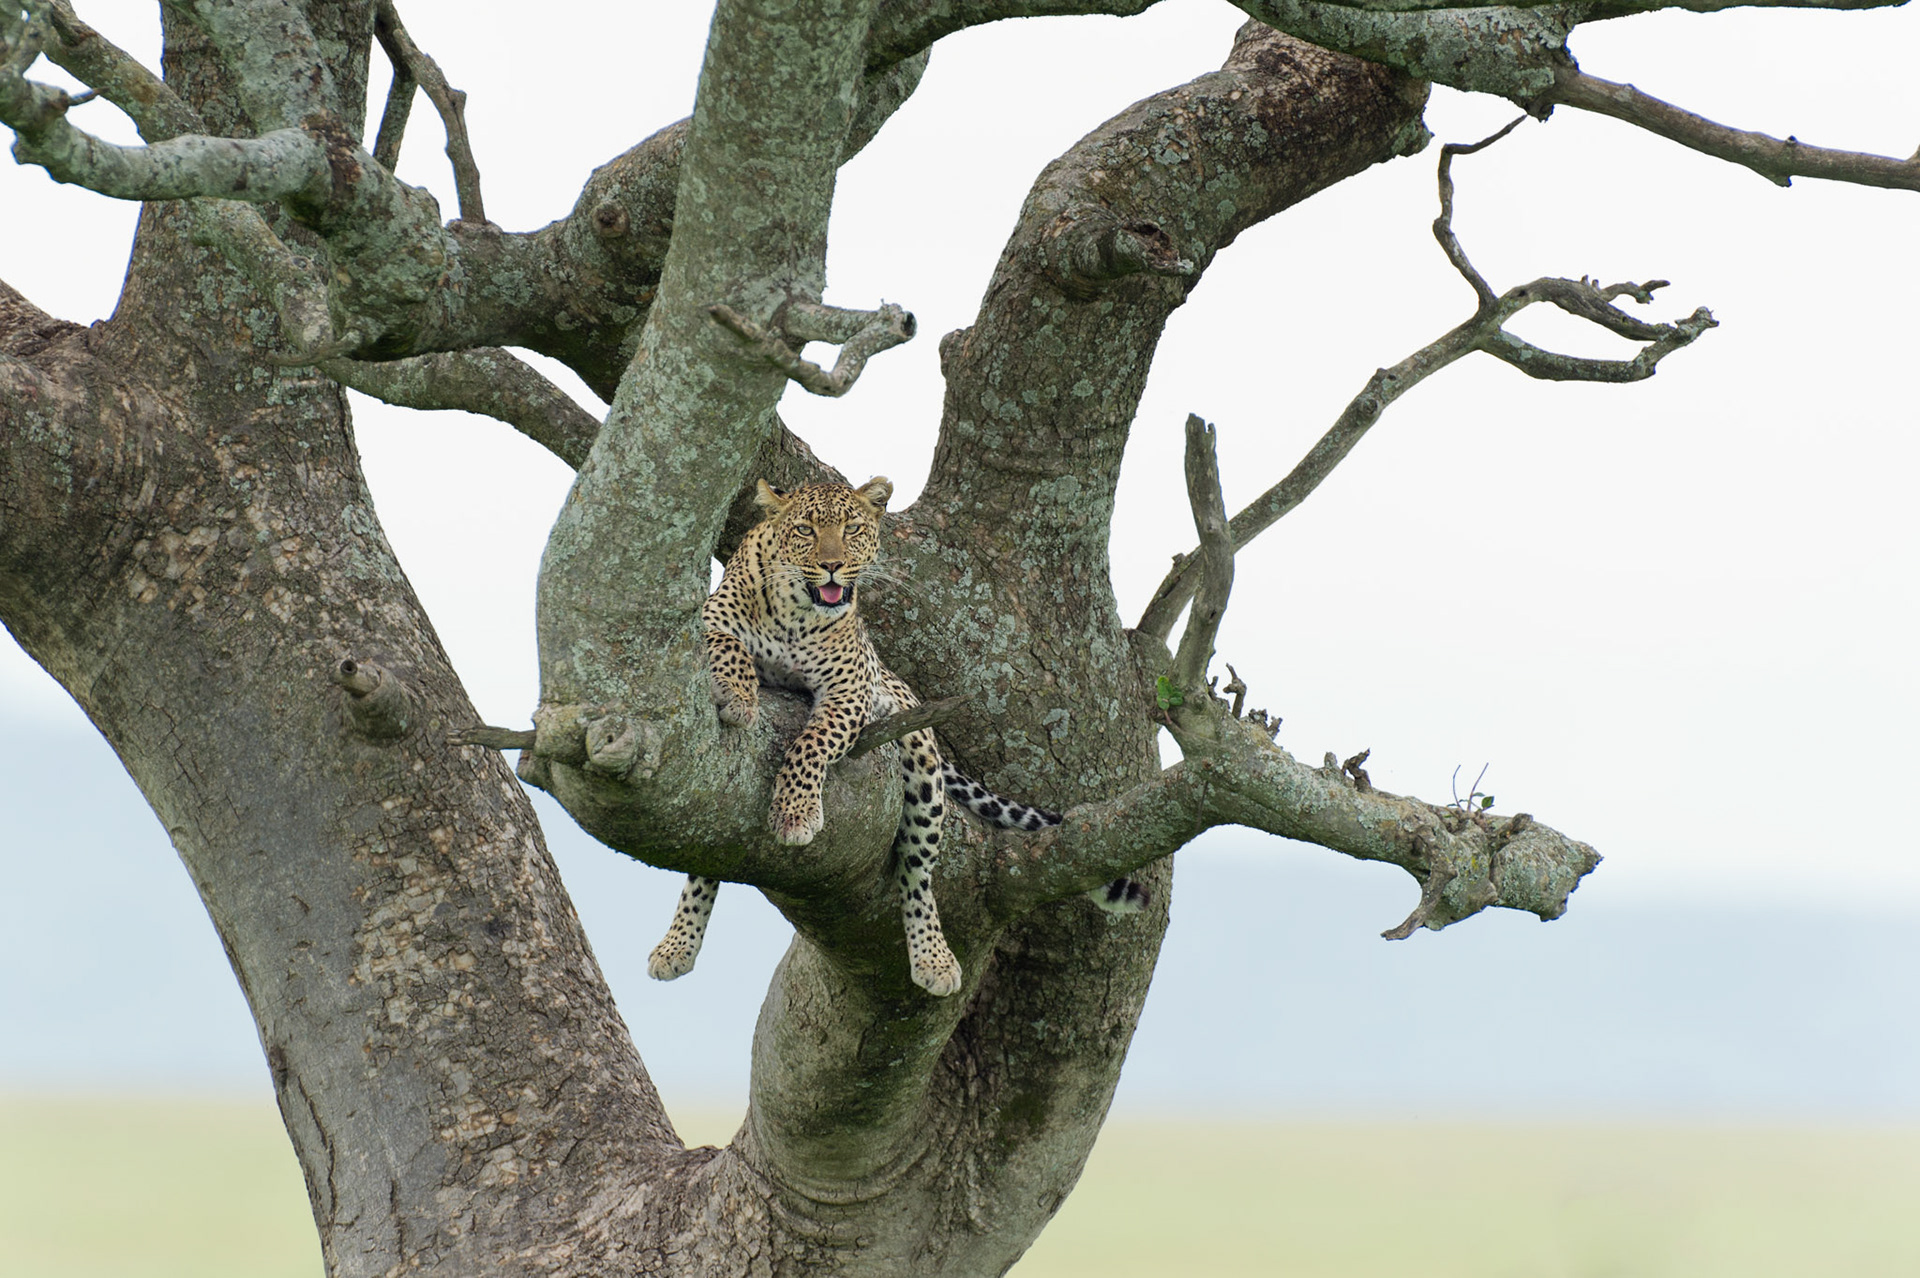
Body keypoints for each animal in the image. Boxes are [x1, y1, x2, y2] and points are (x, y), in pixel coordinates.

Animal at [646, 476, 1147, 997]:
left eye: (852, 529)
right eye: (805, 530)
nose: (832, 565)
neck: (795, 614)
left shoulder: (849, 691)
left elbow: (808, 746)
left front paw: (795, 812)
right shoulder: (707, 621)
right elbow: (727, 643)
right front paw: (739, 694)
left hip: (922, 765)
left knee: (917, 873)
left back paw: (934, 958)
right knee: (708, 856)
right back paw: (678, 943)